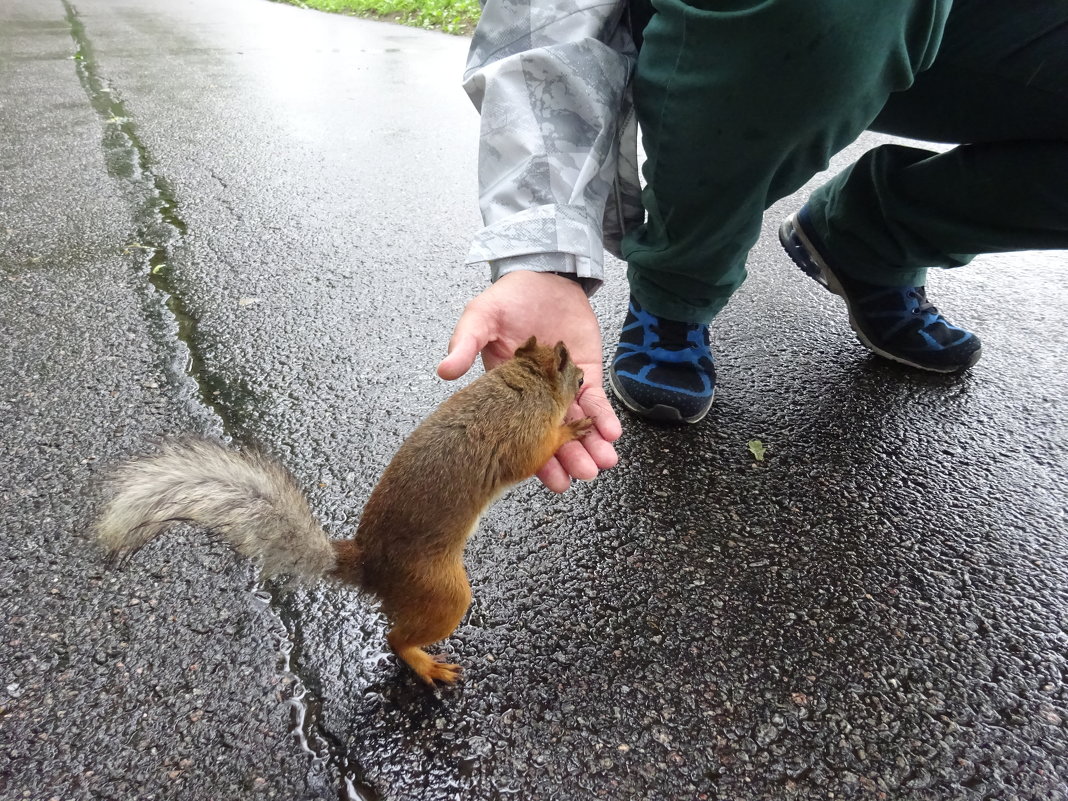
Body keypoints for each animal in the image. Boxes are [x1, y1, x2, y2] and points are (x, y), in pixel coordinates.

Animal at [92, 337, 593, 683]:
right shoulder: (522, 434)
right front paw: (573, 428)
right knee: (396, 638)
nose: (588, 379)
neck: (524, 381)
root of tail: (371, 568)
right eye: (574, 372)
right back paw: (426, 666)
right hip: (442, 591)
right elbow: (535, 455)